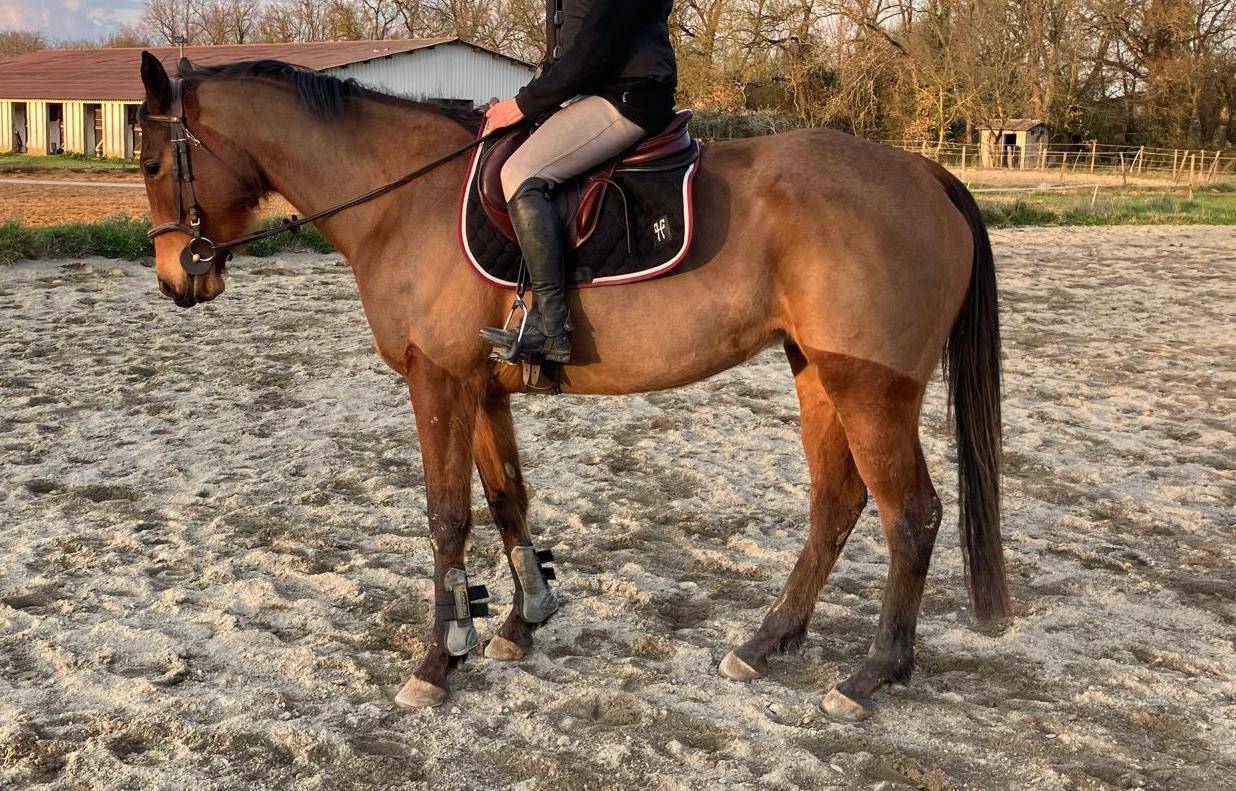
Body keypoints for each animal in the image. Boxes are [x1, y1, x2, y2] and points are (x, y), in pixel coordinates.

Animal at [136, 51, 1009, 720]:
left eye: (150, 163)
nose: (177, 277)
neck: (401, 199)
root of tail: (922, 172)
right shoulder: (480, 388)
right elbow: (507, 497)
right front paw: (523, 622)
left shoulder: (438, 383)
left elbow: (447, 516)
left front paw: (437, 660)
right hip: (819, 375)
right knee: (838, 501)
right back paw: (765, 644)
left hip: (871, 388)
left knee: (912, 516)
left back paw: (870, 676)